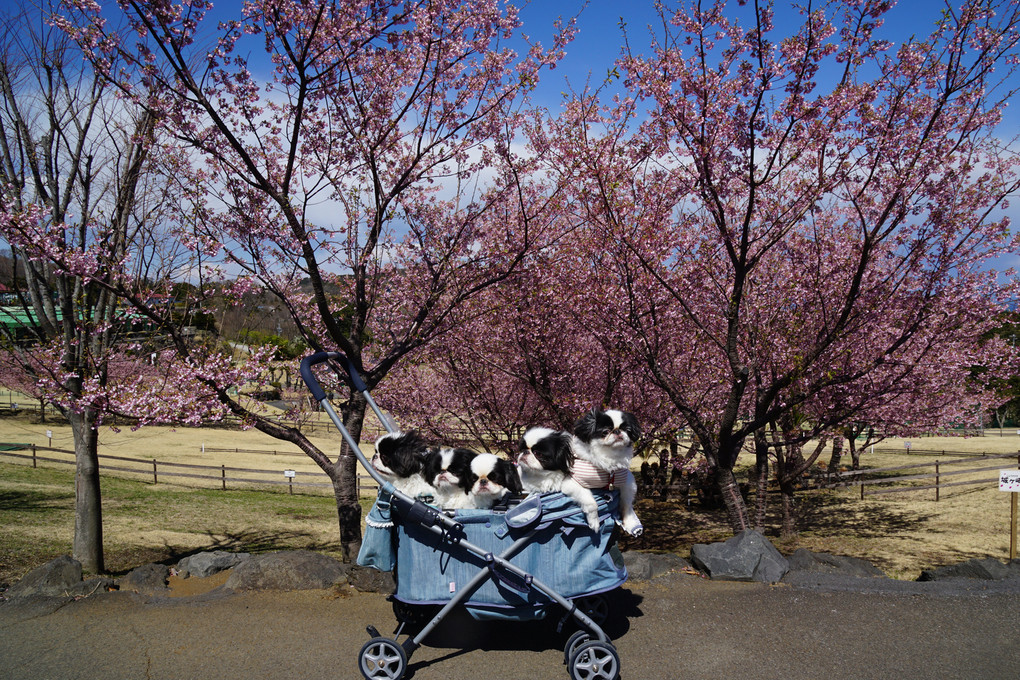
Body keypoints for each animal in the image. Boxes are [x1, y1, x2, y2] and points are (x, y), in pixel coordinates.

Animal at [571, 409, 640, 538]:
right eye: (605, 431)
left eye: (627, 430)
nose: (617, 431)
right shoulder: (570, 481)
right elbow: (591, 503)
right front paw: (594, 522)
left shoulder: (627, 481)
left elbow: (626, 504)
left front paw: (630, 523)